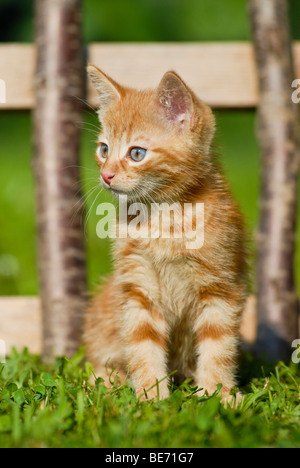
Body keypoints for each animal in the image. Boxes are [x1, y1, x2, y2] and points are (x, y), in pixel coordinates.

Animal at [84, 66, 248, 402]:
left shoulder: (222, 285)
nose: (106, 175)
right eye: (104, 149)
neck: (163, 219)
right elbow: (141, 341)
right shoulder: (137, 285)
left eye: (136, 153)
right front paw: (150, 395)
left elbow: (218, 344)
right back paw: (110, 380)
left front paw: (219, 394)